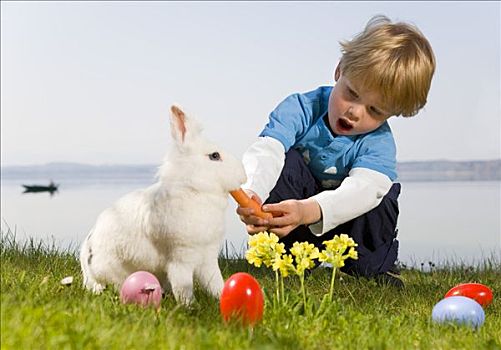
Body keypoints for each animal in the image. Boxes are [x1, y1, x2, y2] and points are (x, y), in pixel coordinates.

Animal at [78, 104, 248, 304]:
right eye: (214, 156)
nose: (243, 175)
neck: (194, 189)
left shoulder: (208, 257)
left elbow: (215, 282)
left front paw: (221, 297)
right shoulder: (180, 258)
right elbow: (183, 286)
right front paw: (189, 306)